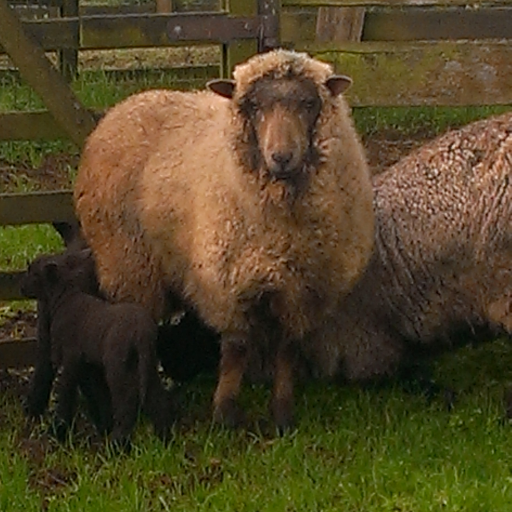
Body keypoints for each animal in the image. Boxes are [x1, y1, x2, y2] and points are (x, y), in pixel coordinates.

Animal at [20, 251, 178, 444]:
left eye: (34, 273)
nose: (21, 288)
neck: (64, 297)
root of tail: (143, 331)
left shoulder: (70, 356)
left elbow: (66, 389)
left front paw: (60, 430)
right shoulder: (88, 363)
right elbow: (96, 392)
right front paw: (100, 423)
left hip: (118, 363)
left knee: (126, 400)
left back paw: (118, 442)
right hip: (147, 363)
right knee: (156, 397)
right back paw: (165, 437)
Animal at [74, 50, 374, 430]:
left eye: (308, 103)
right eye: (254, 106)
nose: (281, 156)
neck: (281, 228)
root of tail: (129, 102)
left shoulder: (301, 289)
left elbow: (287, 350)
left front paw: (282, 413)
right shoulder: (228, 281)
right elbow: (236, 349)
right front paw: (225, 412)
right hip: (129, 264)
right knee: (141, 326)